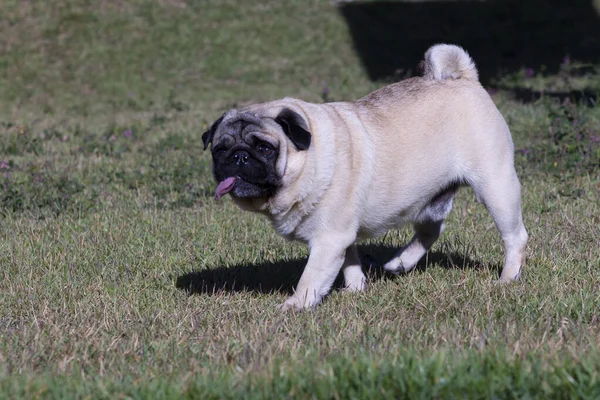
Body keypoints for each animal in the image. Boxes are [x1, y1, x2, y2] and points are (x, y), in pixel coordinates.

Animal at [203, 44, 528, 312]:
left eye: (264, 148)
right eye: (220, 150)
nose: (239, 157)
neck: (312, 157)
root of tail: (463, 77)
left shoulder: (329, 239)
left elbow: (312, 276)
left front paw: (296, 305)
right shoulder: (342, 234)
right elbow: (351, 261)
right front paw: (356, 289)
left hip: (496, 187)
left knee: (515, 237)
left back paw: (507, 278)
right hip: (431, 199)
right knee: (430, 230)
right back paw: (400, 263)